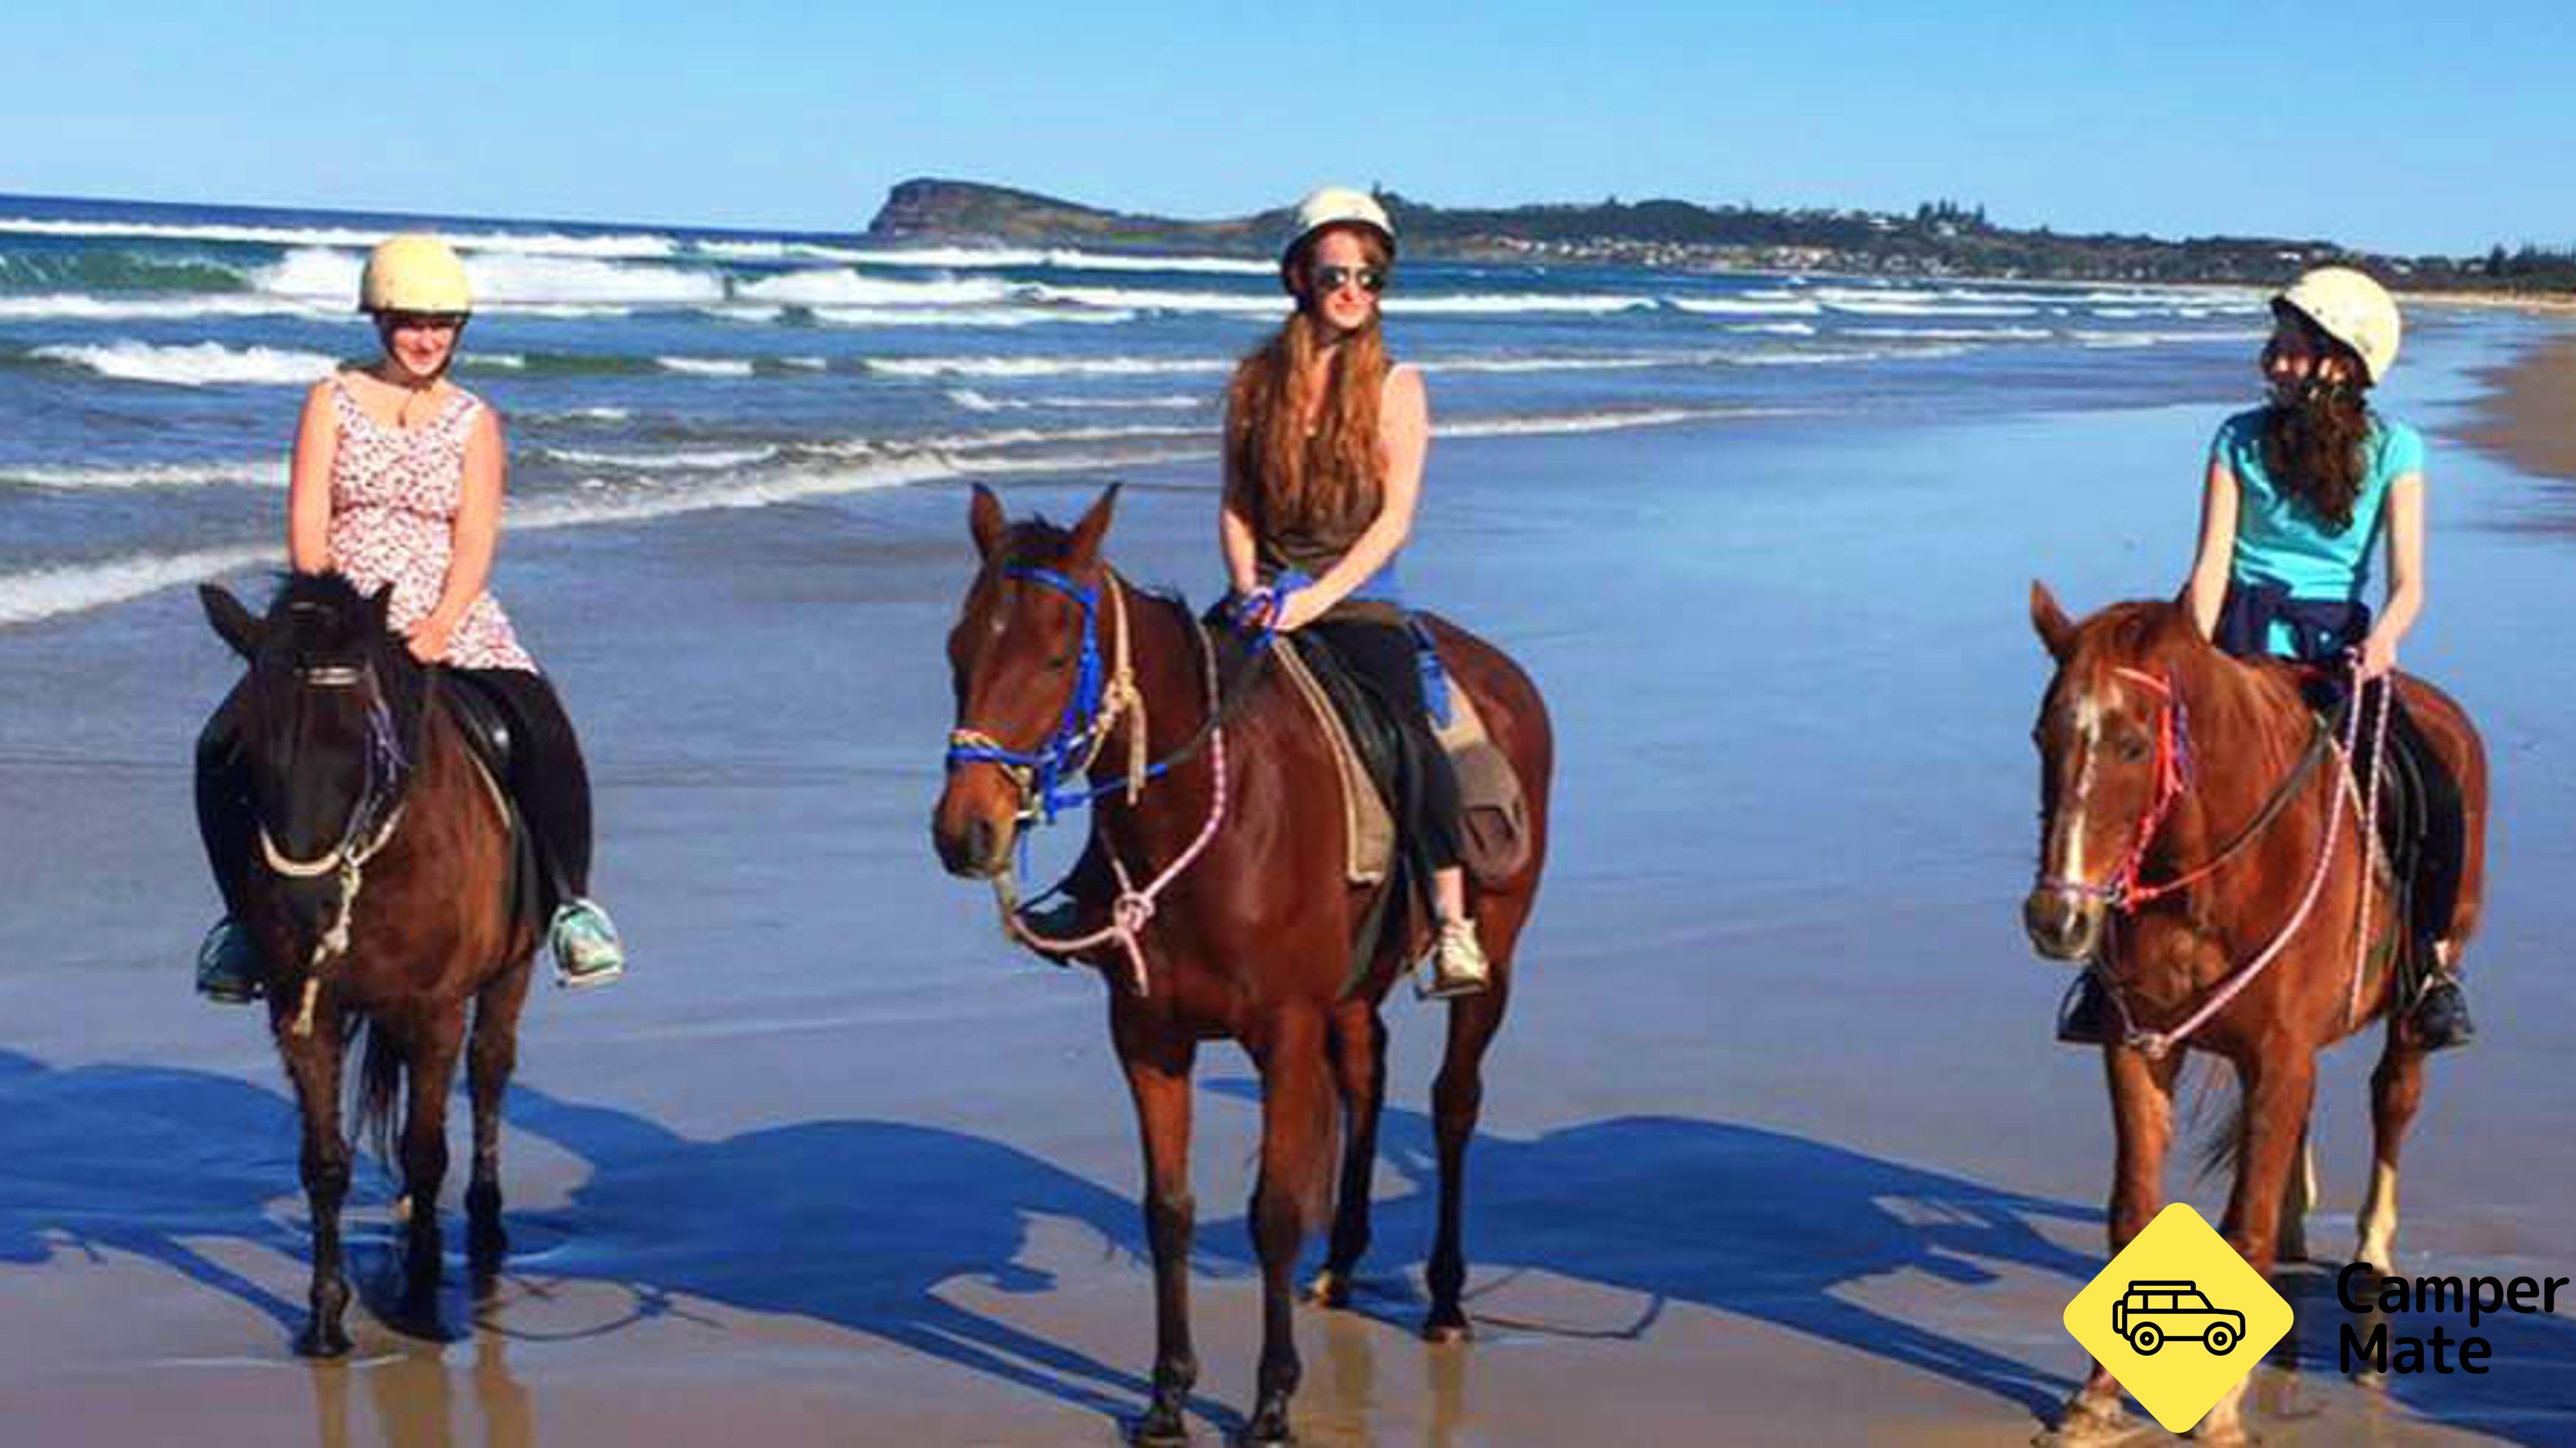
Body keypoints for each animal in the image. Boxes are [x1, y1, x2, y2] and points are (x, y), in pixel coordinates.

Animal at [199, 572, 540, 1355]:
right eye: (250, 750)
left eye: (360, 743)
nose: (307, 903)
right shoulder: (303, 1014)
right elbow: (325, 1164)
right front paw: (326, 1320)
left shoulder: (437, 1009)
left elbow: (426, 1148)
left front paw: (419, 1304)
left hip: (510, 971)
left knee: (489, 1070)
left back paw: (482, 1226)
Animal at [931, 484, 1553, 1444]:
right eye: (958, 649)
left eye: (1054, 657)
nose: (966, 831)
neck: (1209, 824)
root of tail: (1504, 674)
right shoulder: (1147, 1036)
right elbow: (1169, 1211)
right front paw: (1166, 1397)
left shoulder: (1283, 1033)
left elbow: (1274, 1213)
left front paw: (1270, 1402)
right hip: (1352, 990)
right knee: (1366, 1078)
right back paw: (1342, 1266)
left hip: (1495, 956)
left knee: (1453, 1105)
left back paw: (1446, 1301)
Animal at [2022, 583, 2487, 1444]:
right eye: (2044, 736)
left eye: (2133, 745)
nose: (2054, 919)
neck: (2210, 874)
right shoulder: (2140, 1046)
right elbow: (2132, 1212)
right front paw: (2095, 1398)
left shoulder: (2278, 1052)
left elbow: (2246, 1229)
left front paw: (2221, 1410)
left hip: (2414, 1003)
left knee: (2393, 1099)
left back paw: (2372, 1249)